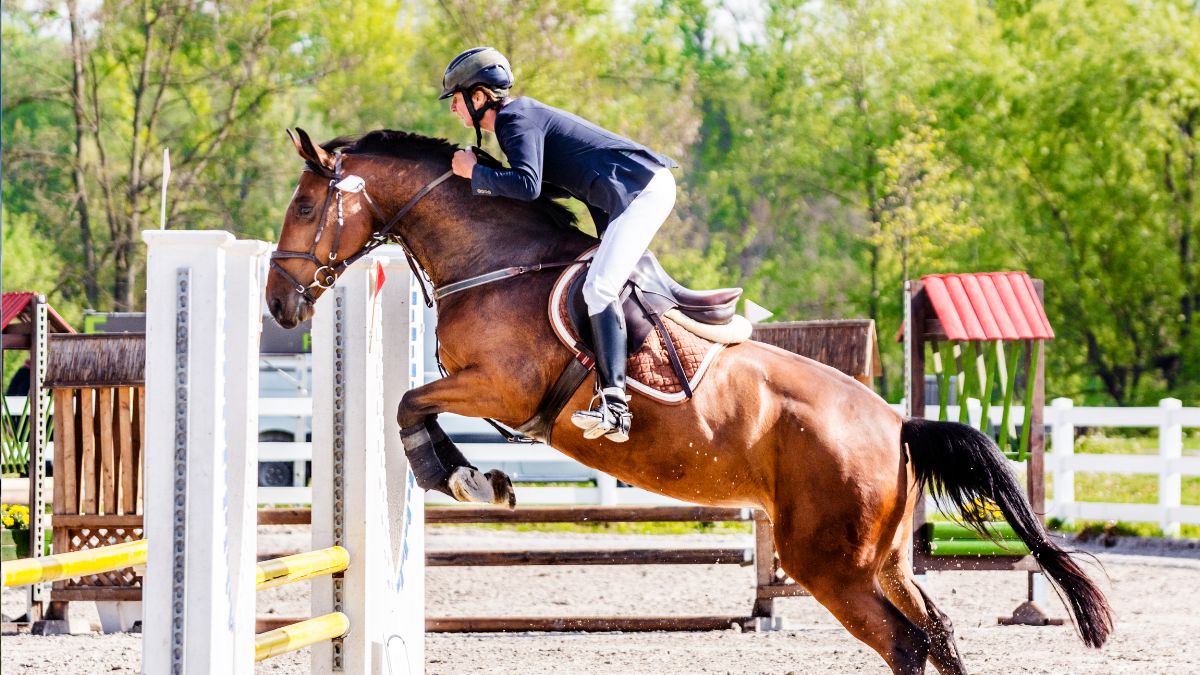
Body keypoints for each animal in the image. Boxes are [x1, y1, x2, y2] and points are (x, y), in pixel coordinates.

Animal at [267, 128, 1108, 667]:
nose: (278, 305)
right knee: (936, 631)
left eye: (305, 208)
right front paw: (475, 476)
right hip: (884, 558)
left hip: (829, 562)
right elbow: (415, 403)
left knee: (906, 642)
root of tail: (898, 422)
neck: (496, 259)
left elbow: (411, 404)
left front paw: (468, 478)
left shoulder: (499, 385)